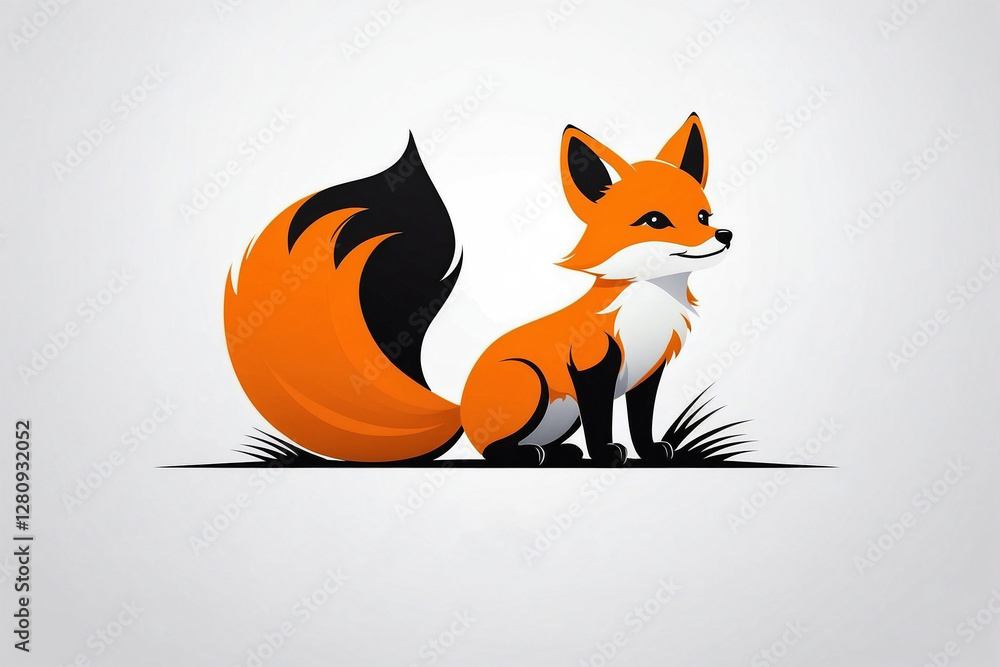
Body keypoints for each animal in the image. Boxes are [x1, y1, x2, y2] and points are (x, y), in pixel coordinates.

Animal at [224, 113, 732, 466]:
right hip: (532, 382)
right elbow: (601, 424)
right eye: (655, 220)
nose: (723, 235)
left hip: (558, 412)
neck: (648, 310)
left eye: (703, 215)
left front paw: (650, 451)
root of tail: (460, 408)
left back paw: (555, 454)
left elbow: (642, 424)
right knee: (494, 450)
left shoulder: (648, 373)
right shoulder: (592, 368)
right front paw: (606, 454)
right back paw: (530, 456)